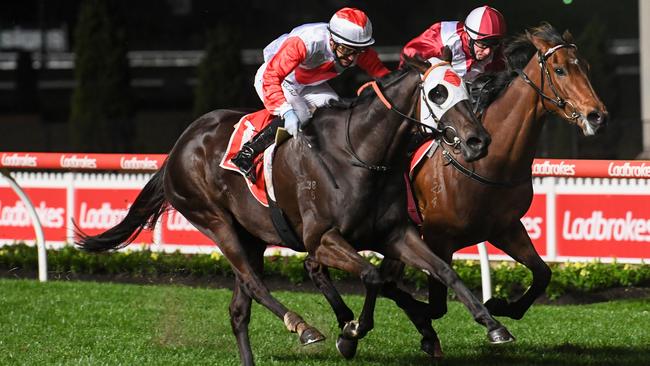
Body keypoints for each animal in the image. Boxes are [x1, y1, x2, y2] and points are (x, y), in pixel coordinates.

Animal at [76, 55, 508, 366]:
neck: (362, 154)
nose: (478, 141)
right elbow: (371, 276)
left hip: (251, 235)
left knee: (239, 310)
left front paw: (492, 325)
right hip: (215, 222)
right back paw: (303, 327)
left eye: (467, 88)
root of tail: (179, 147)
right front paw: (352, 332)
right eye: (437, 93)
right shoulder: (322, 238)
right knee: (254, 284)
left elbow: (443, 271)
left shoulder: (395, 234)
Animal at [304, 22, 608, 358]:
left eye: (586, 67)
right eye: (559, 69)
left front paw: (498, 304)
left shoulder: (505, 228)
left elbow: (543, 274)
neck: (491, 163)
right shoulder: (438, 238)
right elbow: (434, 303)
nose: (597, 115)